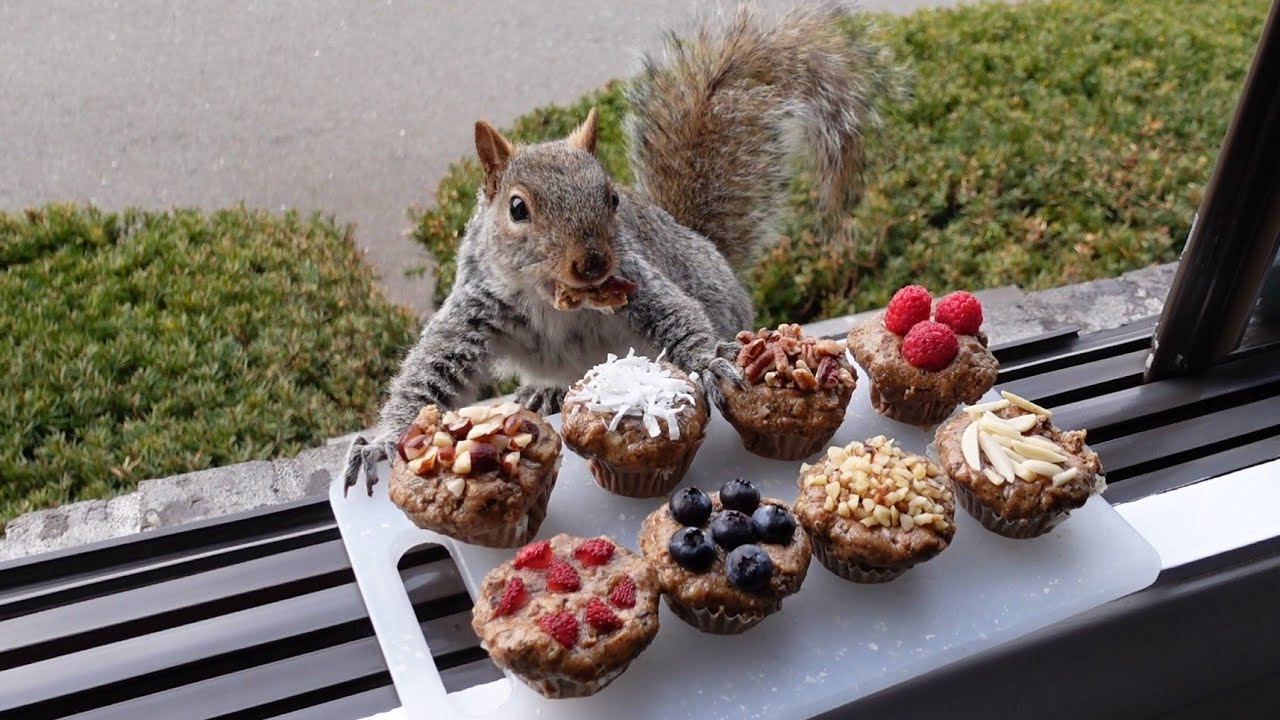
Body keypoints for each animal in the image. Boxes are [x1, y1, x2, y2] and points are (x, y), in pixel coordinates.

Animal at [343, 2, 892, 494]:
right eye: (517, 209)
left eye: (611, 197)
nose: (593, 262)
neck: (553, 296)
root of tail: (703, 244)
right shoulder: (476, 308)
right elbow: (430, 373)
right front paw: (383, 445)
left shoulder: (636, 280)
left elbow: (677, 317)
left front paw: (709, 362)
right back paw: (544, 390)